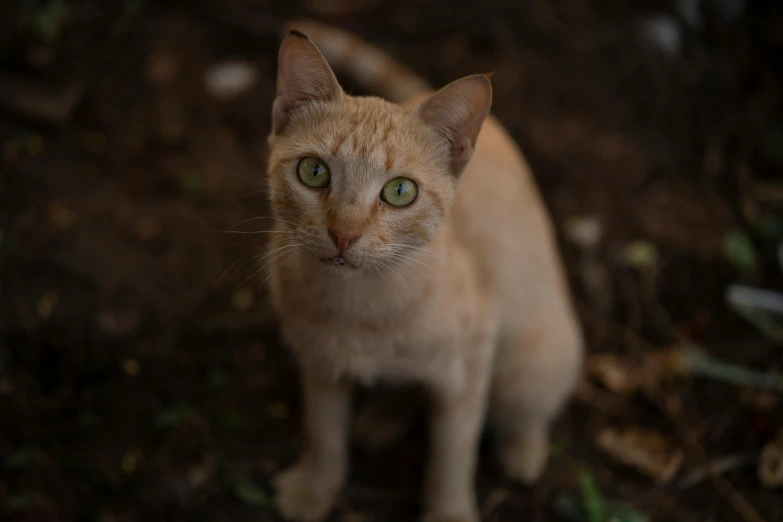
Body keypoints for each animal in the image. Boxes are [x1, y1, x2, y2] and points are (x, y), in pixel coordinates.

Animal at [266, 20, 584, 520]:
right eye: (313, 171)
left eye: (400, 191)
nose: (343, 234)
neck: (358, 306)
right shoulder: (319, 363)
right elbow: (324, 431)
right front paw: (315, 489)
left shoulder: (471, 363)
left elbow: (453, 454)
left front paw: (449, 511)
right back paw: (381, 416)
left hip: (534, 357)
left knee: (531, 404)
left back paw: (522, 448)